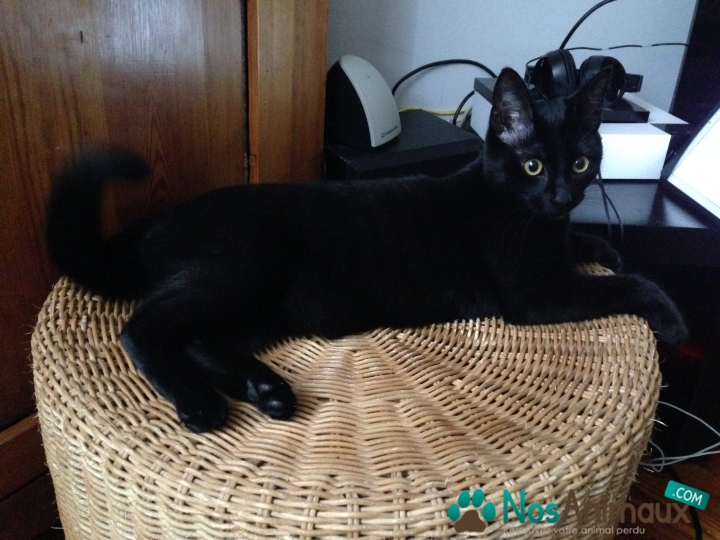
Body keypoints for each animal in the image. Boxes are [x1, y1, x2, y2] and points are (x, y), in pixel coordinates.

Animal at [46, 67, 687, 432]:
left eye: (580, 163)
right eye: (532, 165)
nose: (559, 195)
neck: (526, 216)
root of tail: (158, 219)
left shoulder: (553, 247)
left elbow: (586, 244)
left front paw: (602, 244)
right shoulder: (538, 292)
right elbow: (628, 284)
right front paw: (671, 315)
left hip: (256, 307)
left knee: (201, 338)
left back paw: (267, 391)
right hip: (236, 272)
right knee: (144, 326)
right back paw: (199, 404)